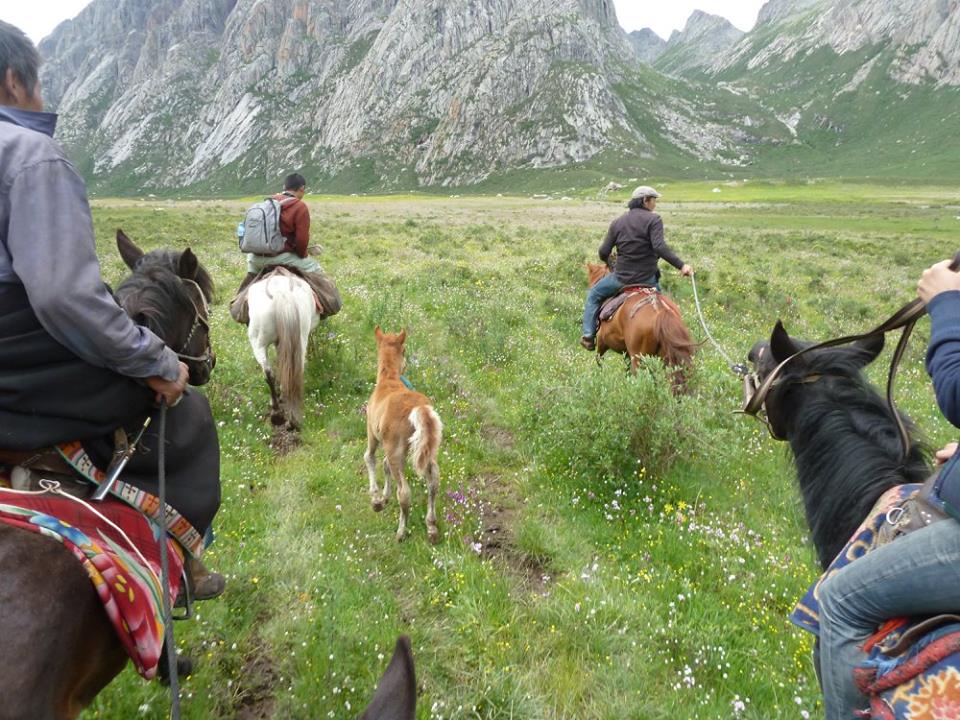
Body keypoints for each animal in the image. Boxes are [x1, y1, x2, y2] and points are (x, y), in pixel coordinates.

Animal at [248, 268, 318, 430]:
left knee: (268, 374)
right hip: (300, 340)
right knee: (294, 371)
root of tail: (281, 292)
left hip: (258, 343)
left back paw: (276, 412)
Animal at [366, 330, 444, 544]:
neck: (388, 380)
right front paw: (384, 498)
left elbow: (370, 458)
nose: (406, 364)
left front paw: (376, 500)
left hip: (397, 453)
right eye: (405, 350)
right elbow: (384, 465)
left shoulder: (373, 435)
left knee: (404, 493)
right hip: (428, 452)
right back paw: (431, 527)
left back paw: (401, 532)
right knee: (433, 483)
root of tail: (417, 409)